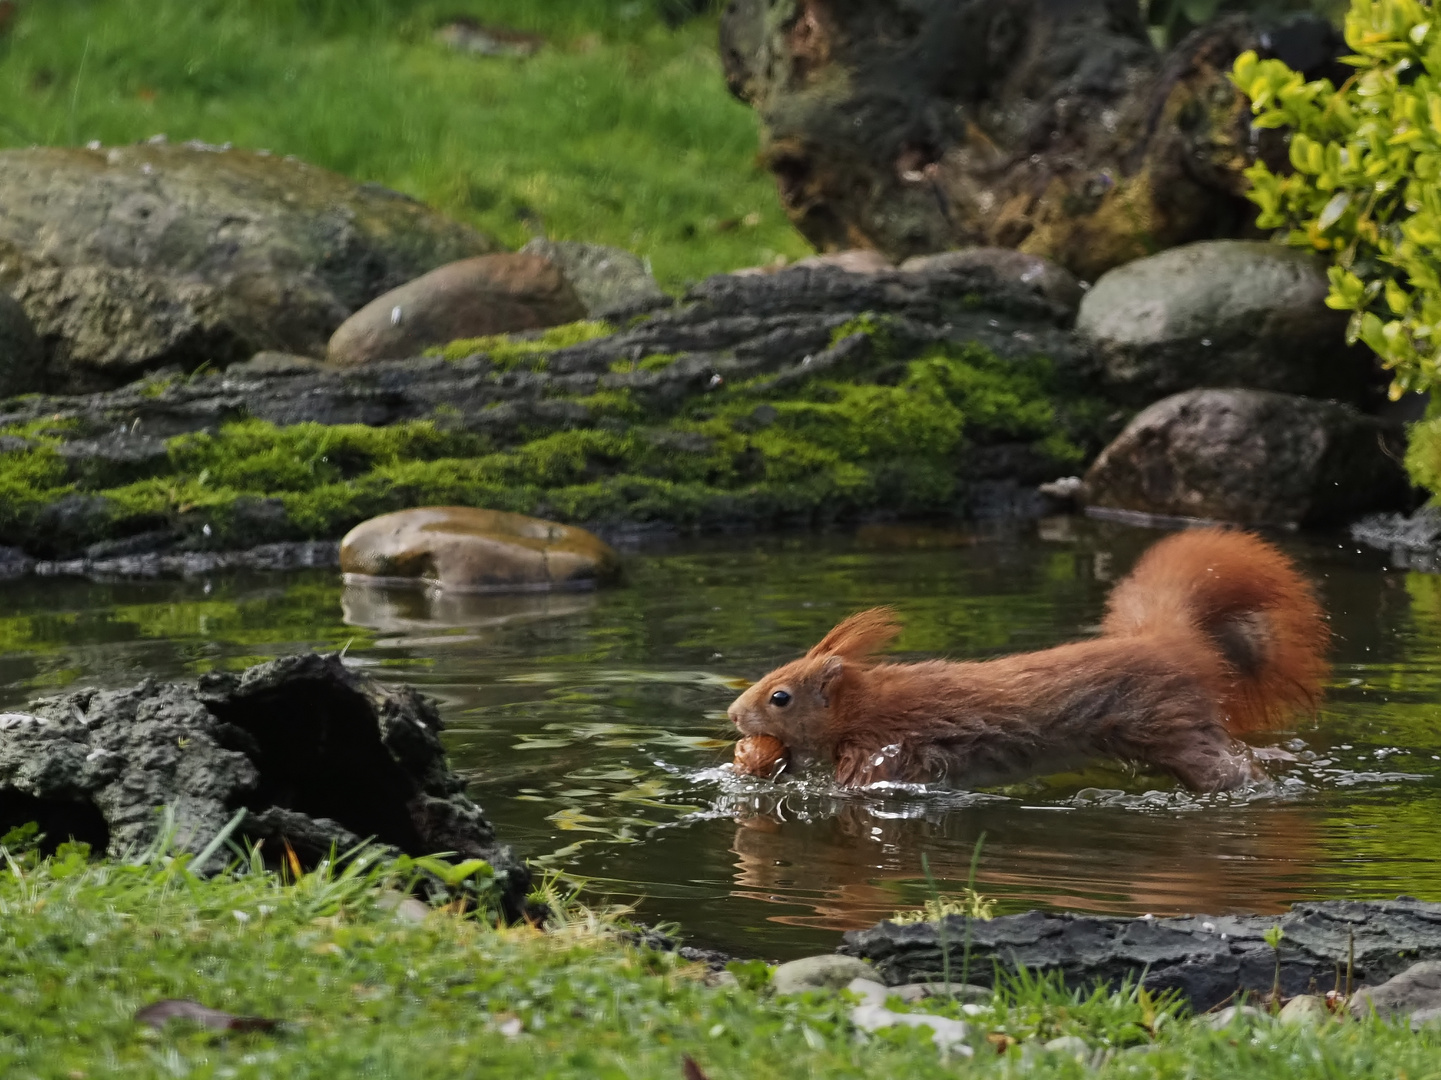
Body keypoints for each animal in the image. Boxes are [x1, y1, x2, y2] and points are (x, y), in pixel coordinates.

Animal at [732, 527, 1325, 790]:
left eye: (779, 697)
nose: (734, 716)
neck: (867, 706)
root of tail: (1167, 642)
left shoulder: (885, 752)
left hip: (1171, 726)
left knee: (1223, 765)